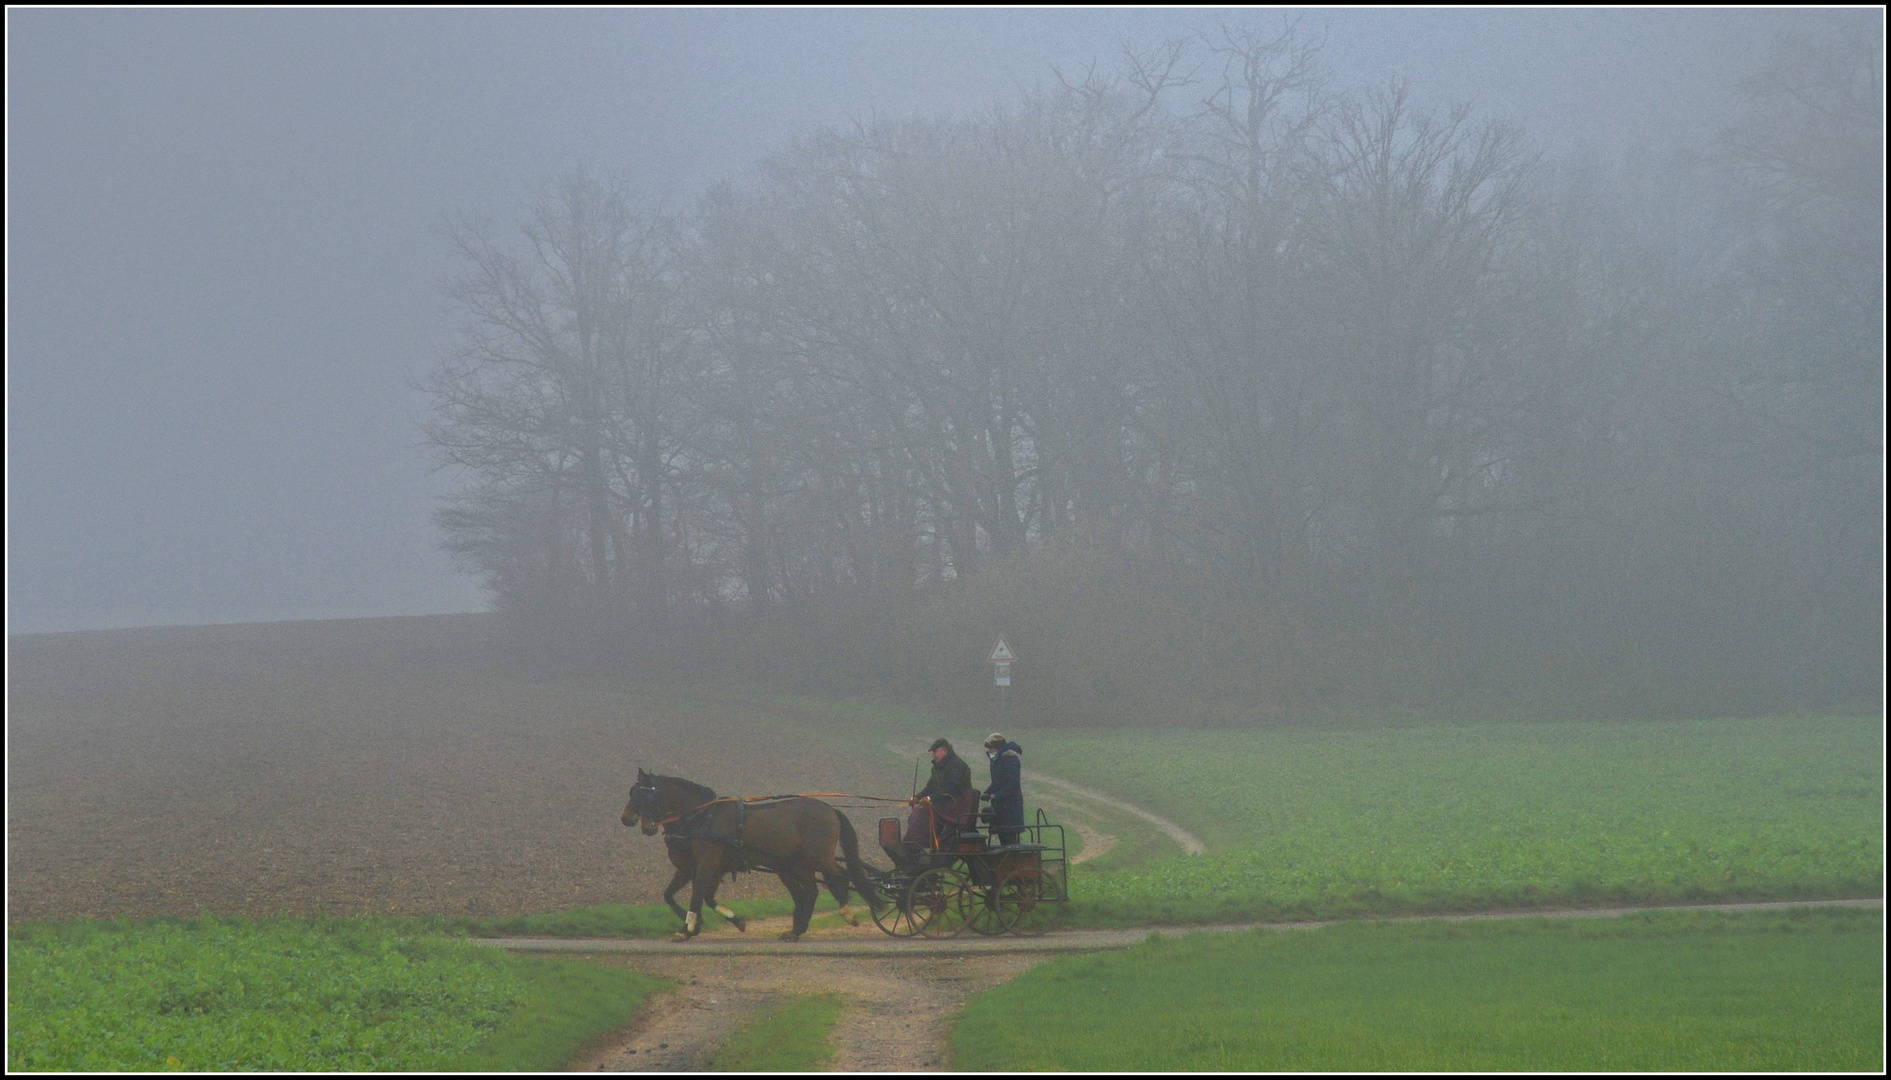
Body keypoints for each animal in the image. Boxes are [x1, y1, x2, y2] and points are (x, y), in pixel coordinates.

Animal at [624, 767, 881, 938]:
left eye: (644, 795)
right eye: (631, 793)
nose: (626, 819)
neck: (703, 817)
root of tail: (830, 809)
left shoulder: (707, 863)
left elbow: (697, 894)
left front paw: (688, 928)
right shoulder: (696, 867)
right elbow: (676, 895)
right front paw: (713, 922)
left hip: (819, 857)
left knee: (841, 877)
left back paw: (847, 913)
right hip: (796, 865)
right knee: (810, 892)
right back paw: (796, 931)